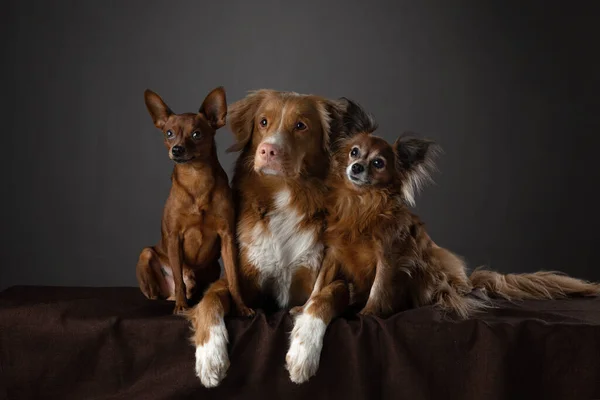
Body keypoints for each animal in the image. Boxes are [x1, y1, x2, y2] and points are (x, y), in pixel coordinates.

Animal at [137, 86, 252, 318]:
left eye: (197, 134)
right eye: (169, 133)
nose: (177, 149)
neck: (196, 177)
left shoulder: (227, 237)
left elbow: (234, 279)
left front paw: (241, 306)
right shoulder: (174, 238)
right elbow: (178, 279)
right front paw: (182, 306)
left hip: (214, 268)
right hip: (146, 254)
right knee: (168, 288)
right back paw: (173, 299)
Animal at [288, 97, 600, 384]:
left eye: (378, 163)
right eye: (354, 152)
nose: (356, 167)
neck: (360, 204)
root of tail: (466, 282)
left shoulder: (389, 256)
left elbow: (379, 288)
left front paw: (369, 313)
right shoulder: (333, 254)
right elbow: (319, 286)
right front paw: (303, 308)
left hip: (430, 270)